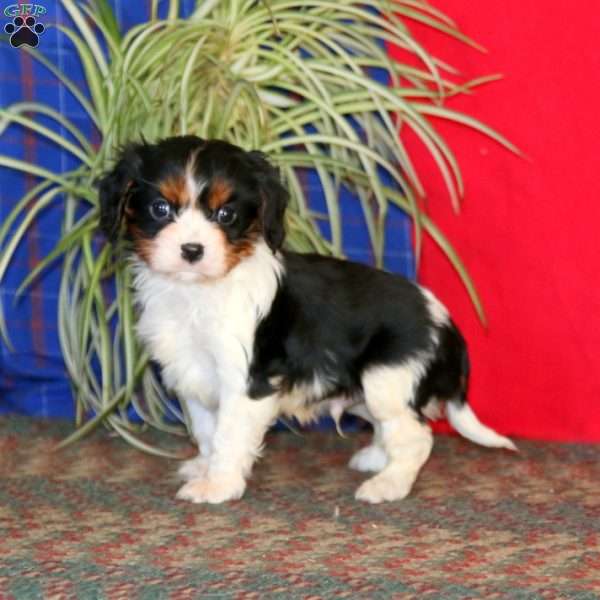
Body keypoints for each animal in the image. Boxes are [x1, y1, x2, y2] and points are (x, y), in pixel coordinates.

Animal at [99, 137, 516, 506]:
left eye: (225, 215)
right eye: (160, 209)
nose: (192, 250)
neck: (198, 292)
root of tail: (446, 324)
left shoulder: (245, 382)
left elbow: (228, 435)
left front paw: (218, 485)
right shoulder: (191, 374)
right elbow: (205, 430)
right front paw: (204, 467)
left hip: (386, 380)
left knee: (417, 438)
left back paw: (389, 484)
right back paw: (377, 460)